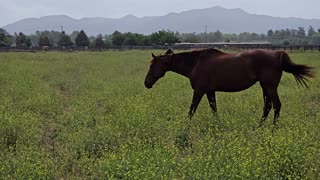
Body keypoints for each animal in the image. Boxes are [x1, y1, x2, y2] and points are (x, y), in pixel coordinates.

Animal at [145, 48, 316, 126]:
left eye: (152, 66)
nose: (146, 83)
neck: (195, 63)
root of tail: (277, 54)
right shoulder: (210, 91)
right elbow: (214, 109)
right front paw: (219, 125)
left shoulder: (199, 91)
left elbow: (191, 110)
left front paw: (185, 126)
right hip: (265, 87)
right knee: (267, 107)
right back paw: (259, 126)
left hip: (270, 87)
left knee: (276, 106)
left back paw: (273, 128)